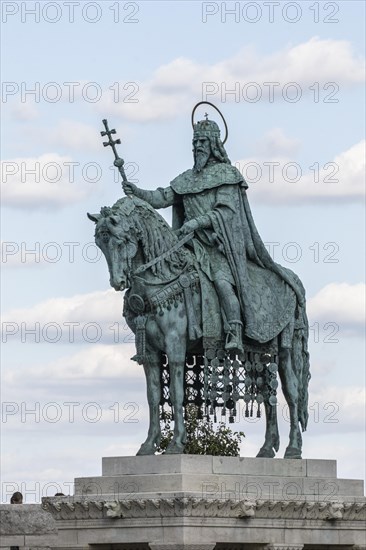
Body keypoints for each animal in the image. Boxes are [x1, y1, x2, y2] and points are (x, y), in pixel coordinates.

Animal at [88, 196, 308, 460]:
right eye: (100, 243)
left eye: (120, 240)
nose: (118, 282)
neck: (161, 277)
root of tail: (292, 278)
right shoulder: (150, 351)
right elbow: (153, 396)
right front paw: (148, 445)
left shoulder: (175, 345)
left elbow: (176, 392)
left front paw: (176, 444)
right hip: (257, 352)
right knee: (267, 394)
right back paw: (266, 449)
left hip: (285, 348)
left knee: (292, 392)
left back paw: (293, 449)